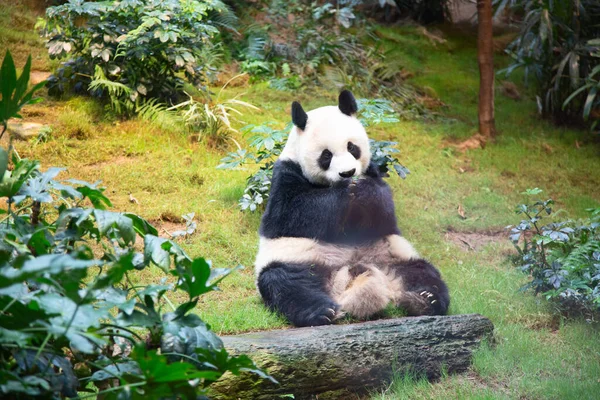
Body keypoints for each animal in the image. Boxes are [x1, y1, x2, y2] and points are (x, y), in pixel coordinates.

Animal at [254, 91, 450, 328]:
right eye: (326, 155)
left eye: (352, 147)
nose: (348, 173)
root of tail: (345, 276)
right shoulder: (285, 174)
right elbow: (291, 214)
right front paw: (345, 192)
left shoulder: (372, 171)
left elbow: (385, 212)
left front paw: (364, 190)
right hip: (297, 259)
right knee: (285, 282)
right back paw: (321, 311)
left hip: (394, 257)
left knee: (422, 273)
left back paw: (423, 300)